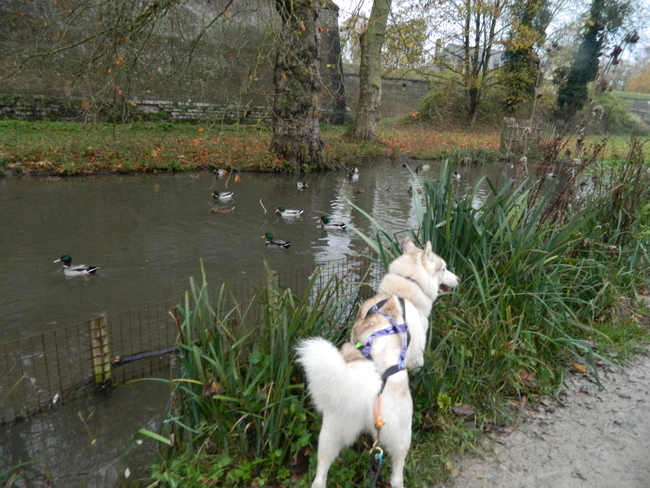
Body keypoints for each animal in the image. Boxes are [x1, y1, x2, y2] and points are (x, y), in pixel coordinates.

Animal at [296, 237, 458, 488]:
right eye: (444, 269)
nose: (458, 279)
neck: (401, 290)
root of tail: (366, 388)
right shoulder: (416, 357)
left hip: (331, 431)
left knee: (321, 473)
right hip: (401, 433)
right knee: (397, 471)